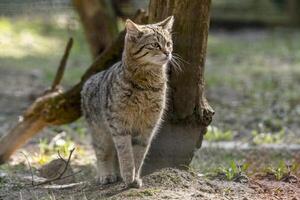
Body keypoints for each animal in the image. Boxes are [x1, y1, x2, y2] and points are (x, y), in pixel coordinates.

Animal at [80, 16, 173, 188]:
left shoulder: (147, 128)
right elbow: (126, 154)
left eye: (169, 43)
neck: (147, 85)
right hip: (100, 133)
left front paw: (135, 178)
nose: (168, 52)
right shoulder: (119, 125)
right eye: (155, 45)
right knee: (103, 154)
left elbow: (138, 155)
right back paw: (106, 175)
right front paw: (129, 176)